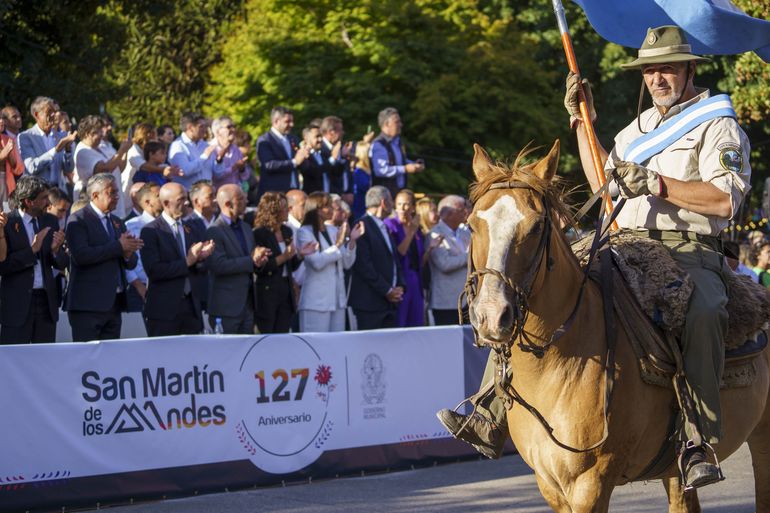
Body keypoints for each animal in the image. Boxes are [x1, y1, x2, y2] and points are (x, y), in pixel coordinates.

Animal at [462, 138, 768, 510]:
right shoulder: (549, 485)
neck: (558, 361)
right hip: (675, 472)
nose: (491, 315)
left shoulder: (590, 484)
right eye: (472, 224)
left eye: (535, 227)